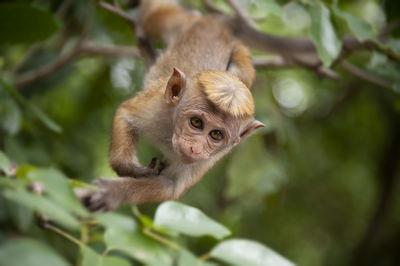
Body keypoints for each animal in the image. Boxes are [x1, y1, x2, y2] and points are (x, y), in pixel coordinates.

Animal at [82, 0, 262, 212]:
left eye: (216, 135)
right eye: (196, 122)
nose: (195, 149)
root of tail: (220, 26)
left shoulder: (207, 160)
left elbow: (170, 186)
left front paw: (113, 193)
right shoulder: (157, 106)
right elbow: (125, 114)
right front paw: (133, 169)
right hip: (181, 22)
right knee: (152, 18)